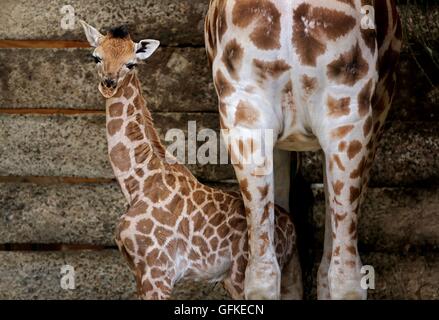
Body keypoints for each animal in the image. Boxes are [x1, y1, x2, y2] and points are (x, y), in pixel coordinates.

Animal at [80, 21, 302, 298]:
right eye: (96, 57)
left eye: (131, 63)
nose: (108, 84)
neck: (136, 185)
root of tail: (292, 229)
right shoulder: (139, 272)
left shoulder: (157, 270)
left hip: (239, 275)